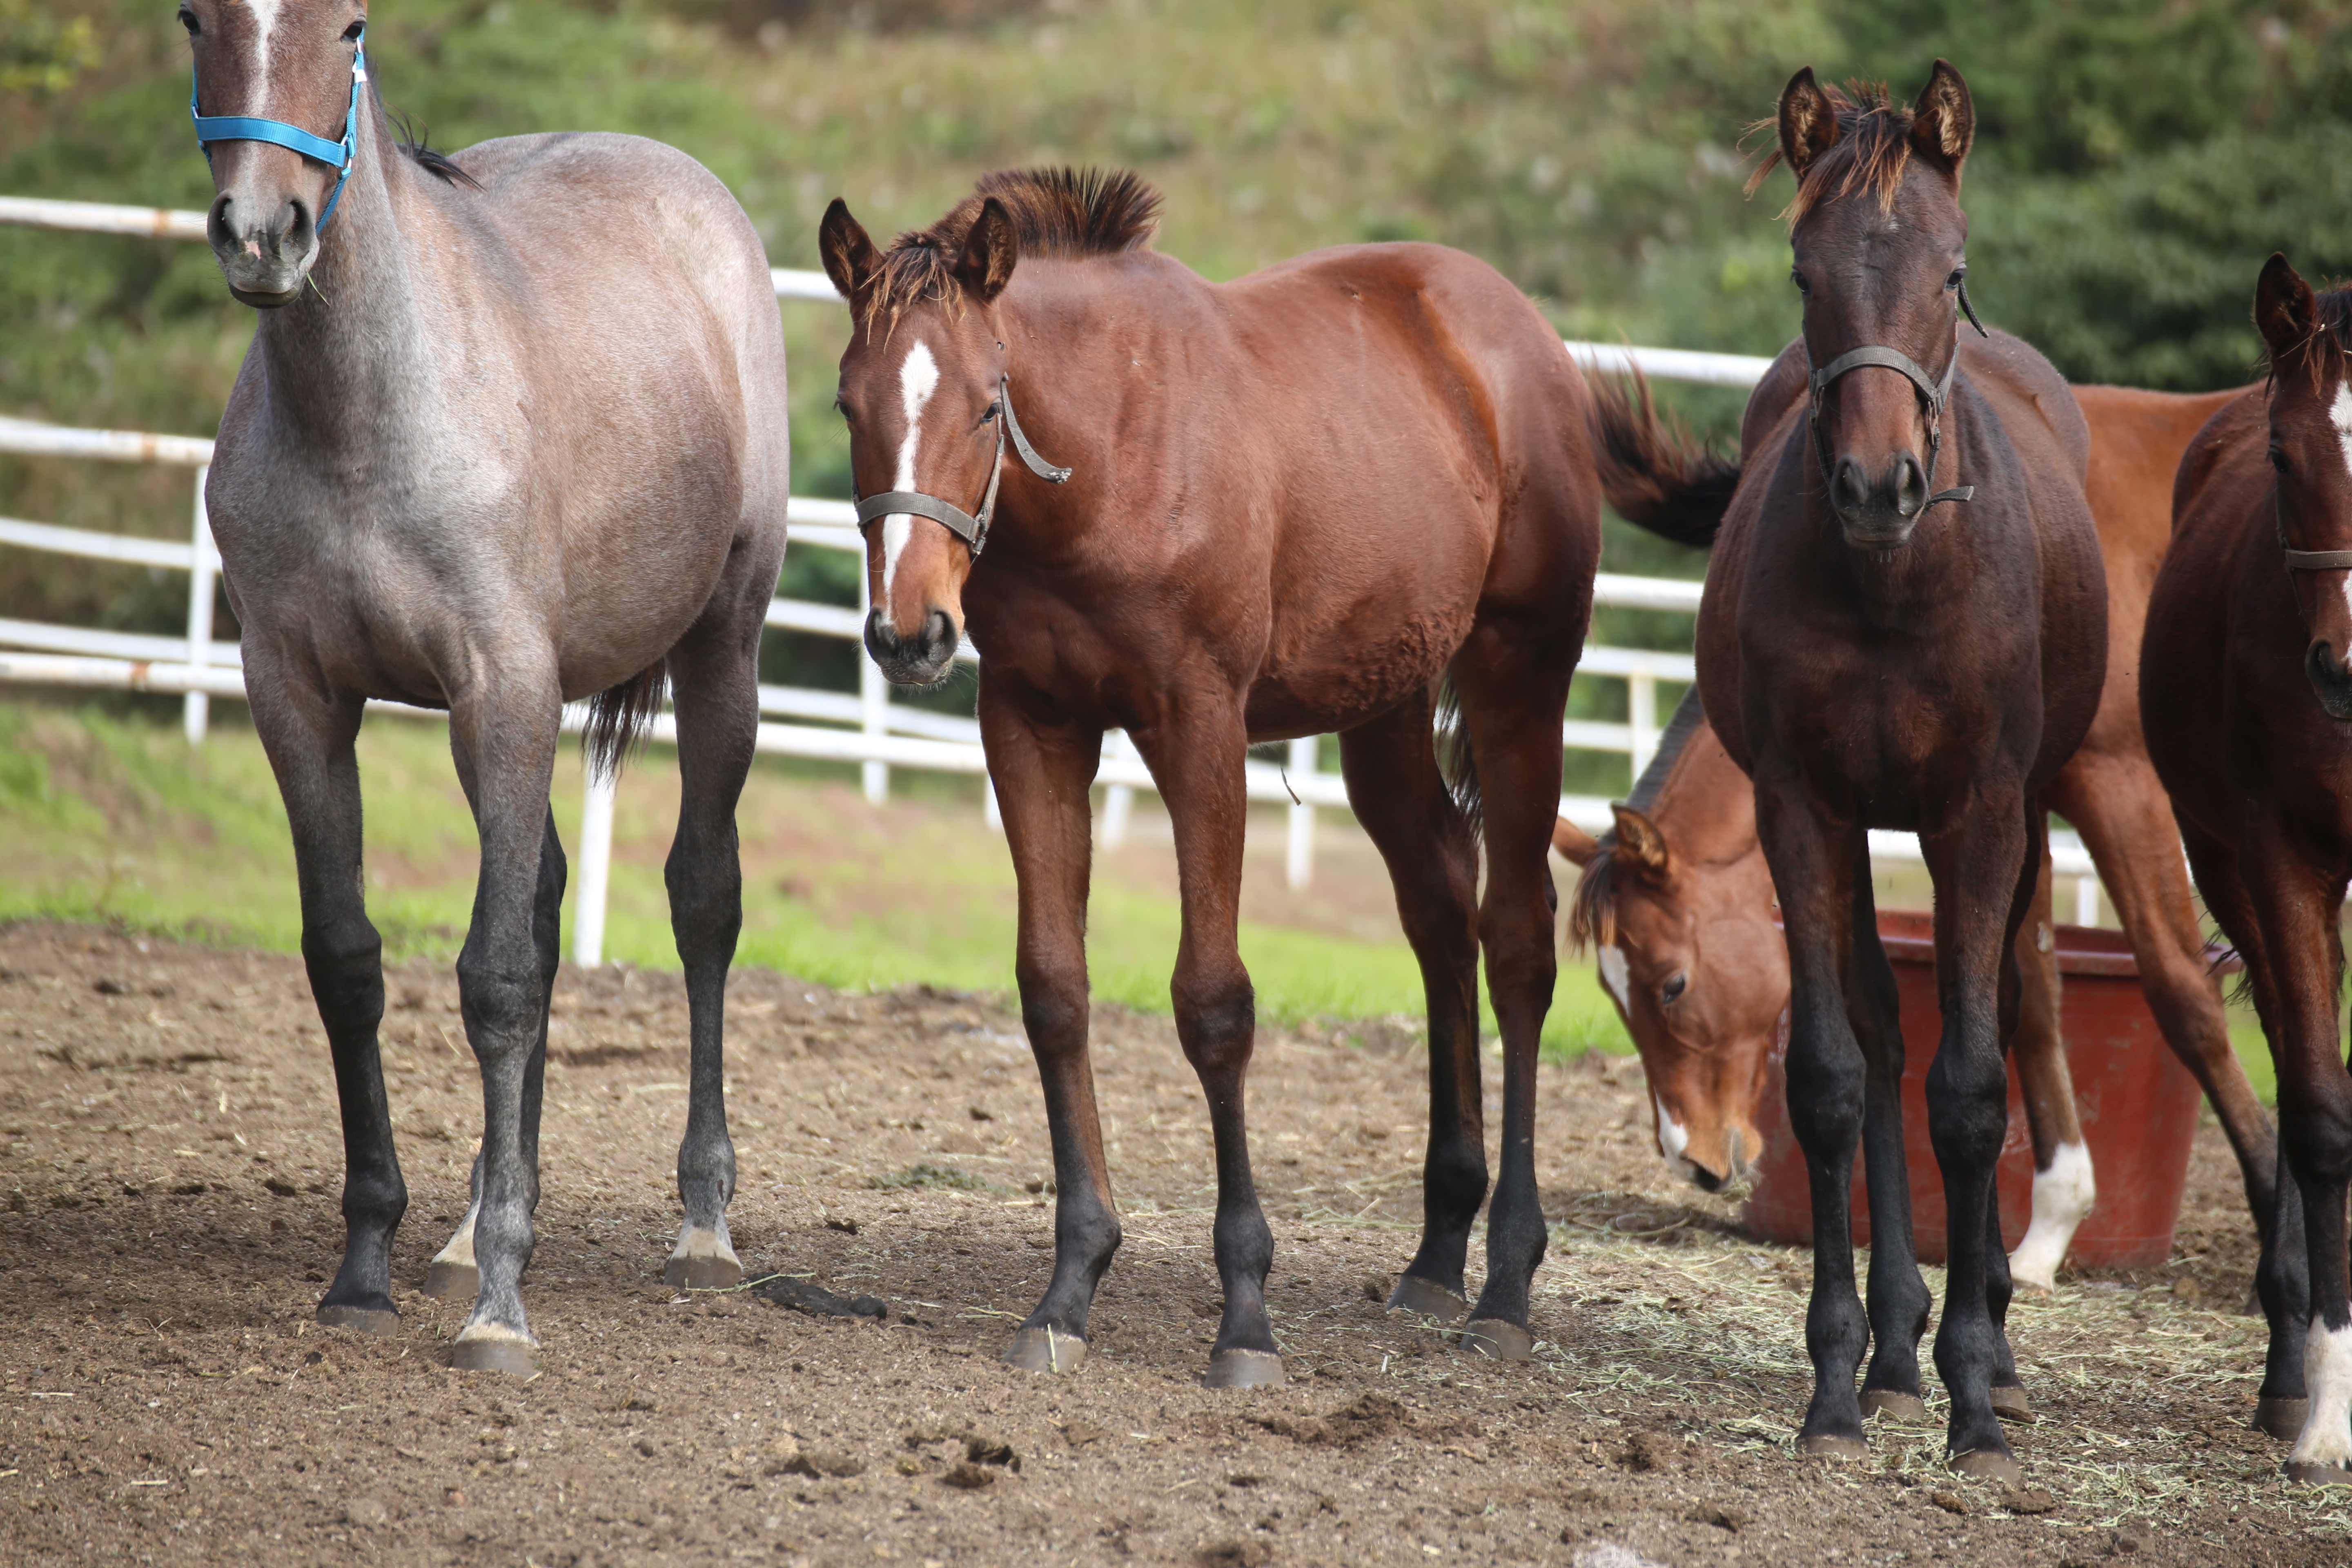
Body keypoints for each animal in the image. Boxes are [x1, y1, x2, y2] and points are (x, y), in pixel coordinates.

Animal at [183, 3, 790, 1373]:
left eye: (349, 25)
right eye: (197, 18)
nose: (262, 234)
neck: (368, 417)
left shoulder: (499, 689)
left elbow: (498, 979)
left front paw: (501, 1310)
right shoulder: (296, 696)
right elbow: (349, 962)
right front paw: (371, 1261)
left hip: (720, 655)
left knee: (703, 903)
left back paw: (700, 1228)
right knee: (553, 901)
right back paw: (470, 1224)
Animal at [818, 165, 1608, 1382]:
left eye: (987, 404)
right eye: (849, 406)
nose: (909, 632)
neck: (1107, 454)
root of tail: (1521, 334)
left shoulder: (1200, 727)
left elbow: (1213, 1003)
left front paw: (1244, 1312)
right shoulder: (1032, 723)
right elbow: (1054, 988)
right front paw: (1069, 1287)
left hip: (1519, 676)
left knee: (1517, 942)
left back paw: (1506, 1284)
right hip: (1383, 706)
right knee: (1441, 913)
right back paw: (1438, 1249)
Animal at [1552, 383, 2267, 1297]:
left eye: (1671, 986)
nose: (1693, 1162)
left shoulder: (2120, 784)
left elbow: (2183, 991)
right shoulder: (2018, 802)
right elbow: (2031, 996)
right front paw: (2047, 1231)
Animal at [1675, 64, 2117, 1486]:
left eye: (1951, 268)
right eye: (1804, 271)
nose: (1880, 483)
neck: (1894, 583)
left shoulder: (1978, 813)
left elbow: (1972, 1091)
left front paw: (1979, 1391)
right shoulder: (1804, 809)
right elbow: (1830, 1075)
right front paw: (1839, 1379)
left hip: (2017, 824)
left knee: (2005, 1008)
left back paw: (1983, 1335)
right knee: (1878, 1024)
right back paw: (1894, 1341)